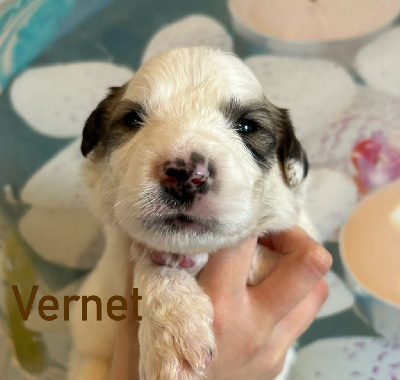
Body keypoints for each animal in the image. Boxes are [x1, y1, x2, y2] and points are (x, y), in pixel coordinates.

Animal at [69, 47, 318, 380]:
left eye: (248, 127)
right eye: (132, 119)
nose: (186, 175)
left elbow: (261, 249)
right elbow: (150, 265)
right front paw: (173, 336)